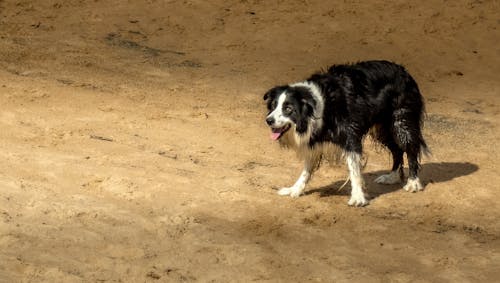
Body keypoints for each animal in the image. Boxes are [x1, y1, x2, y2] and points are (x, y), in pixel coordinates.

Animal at [264, 60, 428, 206]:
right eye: (273, 106)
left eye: (288, 109)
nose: (269, 120)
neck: (319, 105)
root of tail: (404, 71)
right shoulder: (315, 140)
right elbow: (306, 170)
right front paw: (295, 189)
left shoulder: (350, 137)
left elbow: (354, 170)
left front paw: (358, 198)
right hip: (382, 129)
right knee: (397, 150)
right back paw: (392, 176)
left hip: (401, 122)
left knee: (410, 148)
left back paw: (413, 182)